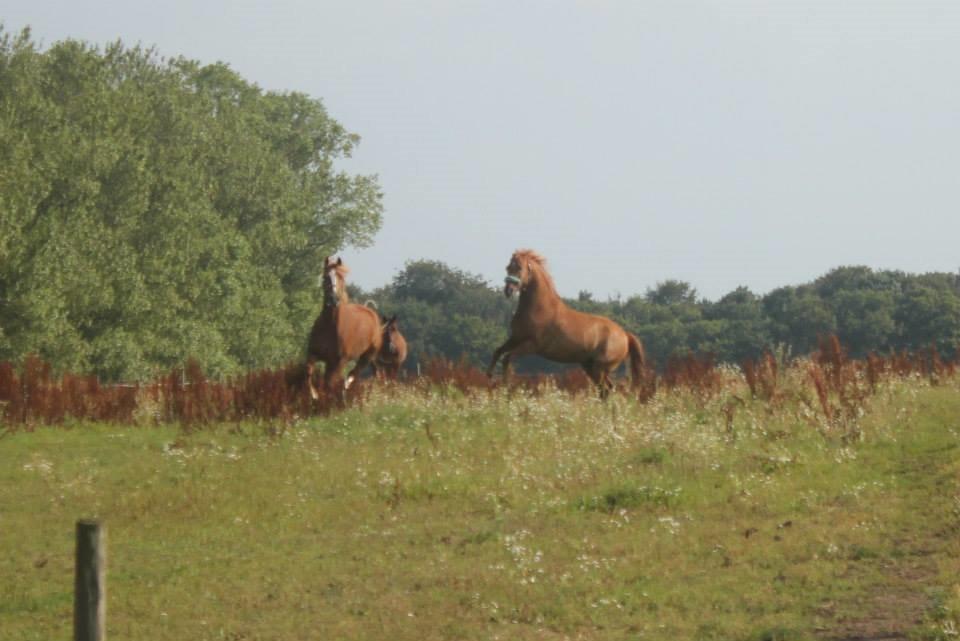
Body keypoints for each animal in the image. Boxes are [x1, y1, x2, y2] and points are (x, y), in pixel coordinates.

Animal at [308, 256, 382, 398]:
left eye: (341, 277)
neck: (330, 325)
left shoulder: (339, 361)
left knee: (353, 374)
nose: (333, 299)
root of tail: (371, 313)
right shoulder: (314, 354)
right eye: (325, 276)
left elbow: (329, 383)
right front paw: (314, 394)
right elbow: (308, 372)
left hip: (367, 356)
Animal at [488, 249, 644, 396]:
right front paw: (490, 377)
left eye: (519, 268)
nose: (508, 290)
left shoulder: (532, 345)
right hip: (590, 366)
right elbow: (498, 351)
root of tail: (625, 335)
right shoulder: (515, 338)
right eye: (508, 267)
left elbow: (507, 357)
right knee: (607, 390)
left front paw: (505, 385)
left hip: (599, 368)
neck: (539, 308)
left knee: (606, 389)